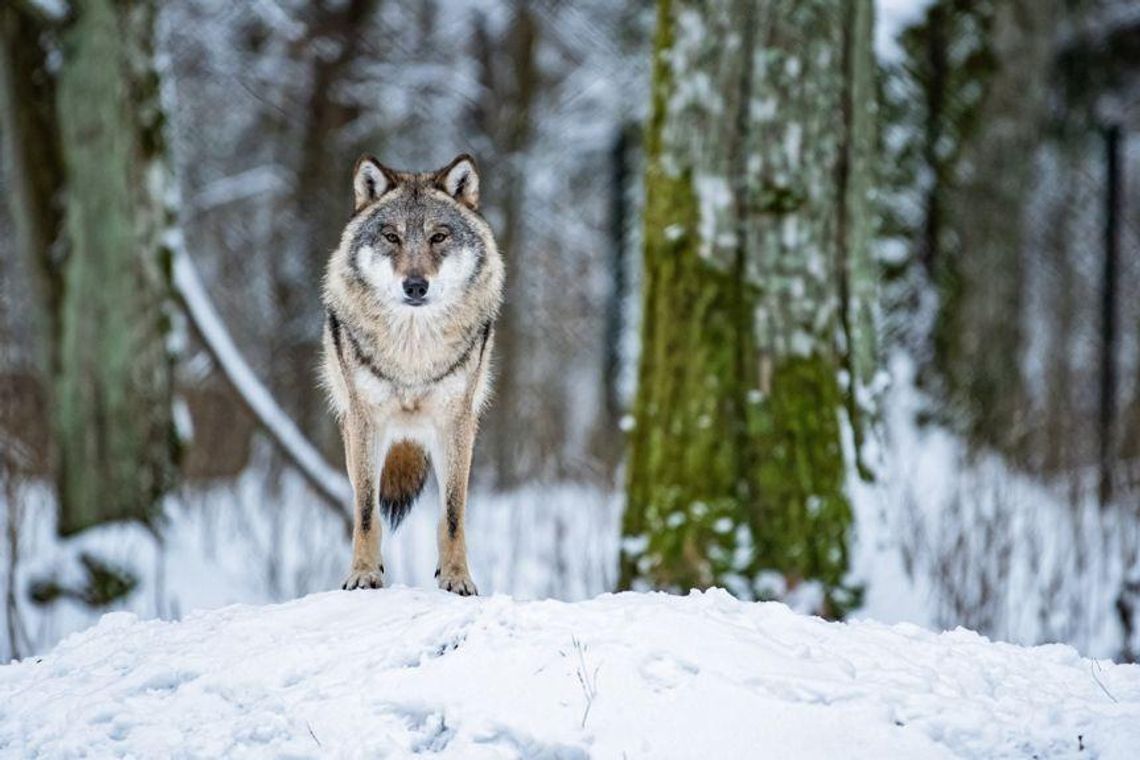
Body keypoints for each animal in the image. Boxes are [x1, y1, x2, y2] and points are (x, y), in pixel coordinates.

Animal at [319, 154, 501, 592]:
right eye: (391, 237)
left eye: (438, 237)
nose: (415, 286)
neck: (412, 356)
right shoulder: (364, 421)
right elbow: (366, 511)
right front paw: (363, 573)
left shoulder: (456, 422)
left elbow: (452, 515)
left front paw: (457, 579)